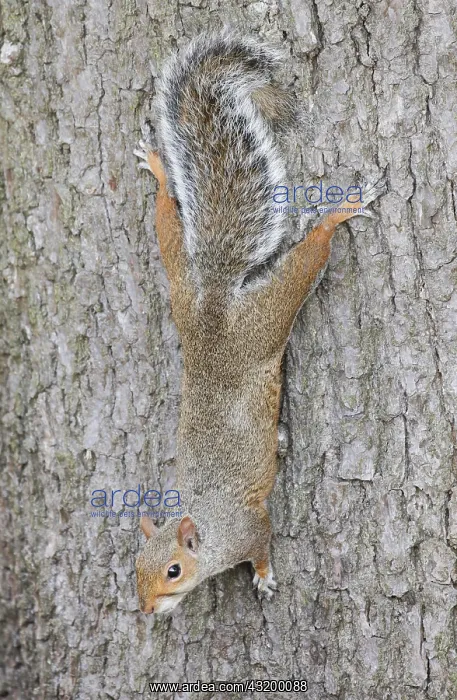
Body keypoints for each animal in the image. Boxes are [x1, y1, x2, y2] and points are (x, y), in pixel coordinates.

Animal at [133, 31, 385, 615]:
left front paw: (265, 578)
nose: (147, 609)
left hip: (269, 312)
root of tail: (214, 307)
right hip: (179, 281)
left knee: (309, 255)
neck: (209, 525)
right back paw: (159, 169)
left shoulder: (251, 524)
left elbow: (264, 544)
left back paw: (338, 213)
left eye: (174, 570)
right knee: (166, 221)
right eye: (136, 567)